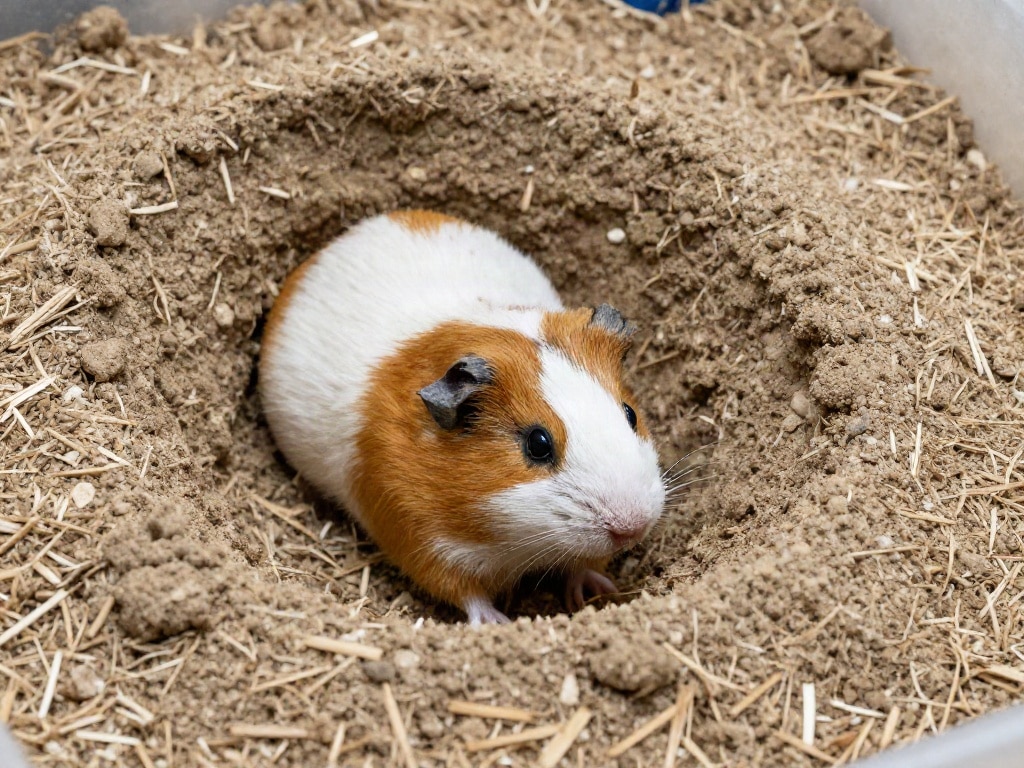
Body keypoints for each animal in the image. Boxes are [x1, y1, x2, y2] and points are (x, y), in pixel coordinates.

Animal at [259, 210, 665, 625]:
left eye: (630, 414)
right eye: (538, 444)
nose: (632, 526)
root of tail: (350, 235)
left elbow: (582, 566)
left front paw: (597, 590)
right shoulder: (422, 540)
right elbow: (467, 594)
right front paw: (496, 622)